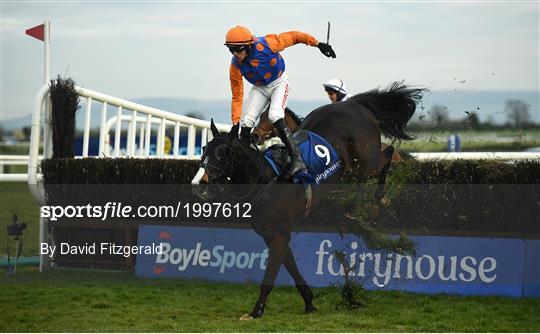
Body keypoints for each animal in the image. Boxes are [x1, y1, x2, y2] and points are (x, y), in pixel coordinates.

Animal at [192, 81, 424, 318]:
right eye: (204, 148)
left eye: (225, 153)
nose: (201, 182)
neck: (266, 179)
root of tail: (353, 104)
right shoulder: (271, 234)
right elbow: (291, 267)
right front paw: (309, 301)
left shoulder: (280, 234)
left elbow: (271, 273)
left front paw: (257, 310)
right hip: (353, 170)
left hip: (366, 163)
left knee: (388, 153)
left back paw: (380, 198)